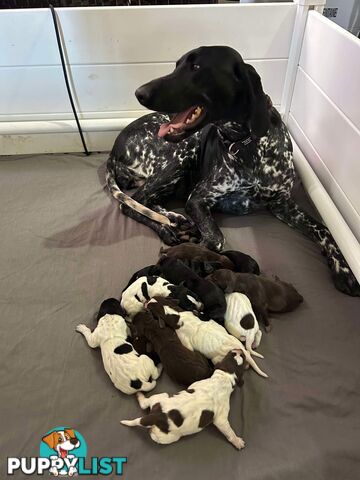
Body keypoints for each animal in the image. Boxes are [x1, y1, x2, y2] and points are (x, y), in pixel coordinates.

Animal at [105, 47, 358, 298]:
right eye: (176, 66)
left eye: (196, 67)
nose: (139, 92)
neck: (248, 144)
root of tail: (115, 146)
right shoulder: (198, 199)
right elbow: (216, 240)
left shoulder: (282, 205)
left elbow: (324, 229)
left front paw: (344, 268)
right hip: (183, 156)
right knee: (132, 203)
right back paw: (167, 228)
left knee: (146, 201)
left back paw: (175, 218)